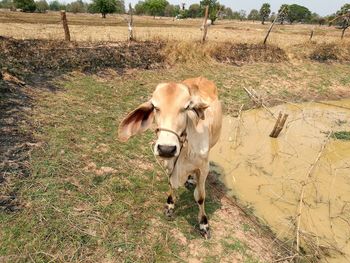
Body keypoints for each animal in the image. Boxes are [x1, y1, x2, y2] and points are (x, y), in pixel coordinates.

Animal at [117, 76, 221, 239]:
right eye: (155, 107)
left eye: (186, 107)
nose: (166, 148)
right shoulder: (170, 162)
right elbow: (171, 184)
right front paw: (170, 205)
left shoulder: (204, 167)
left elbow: (200, 197)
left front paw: (204, 224)